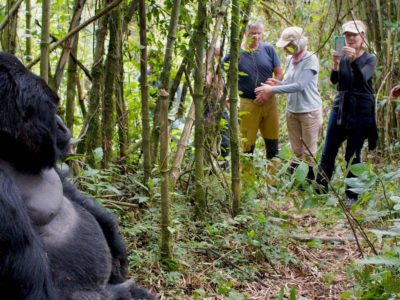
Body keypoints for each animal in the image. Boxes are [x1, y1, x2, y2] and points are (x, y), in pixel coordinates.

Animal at [0, 52, 155, 300]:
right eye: (50, 108)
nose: (62, 126)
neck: (10, 151)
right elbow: (36, 291)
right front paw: (121, 292)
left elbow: (73, 193)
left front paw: (114, 239)